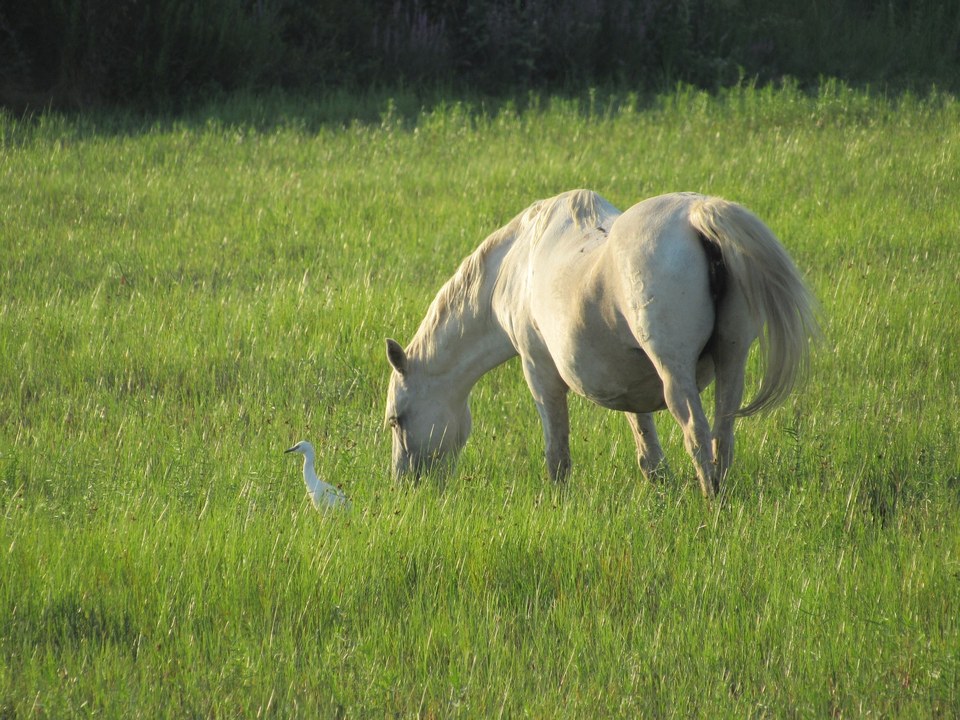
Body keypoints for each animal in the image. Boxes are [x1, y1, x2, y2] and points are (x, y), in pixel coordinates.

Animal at [384, 190, 819, 498]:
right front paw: (659, 490)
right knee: (722, 439)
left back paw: (710, 502)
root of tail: (698, 215)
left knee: (697, 433)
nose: (406, 485)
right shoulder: (627, 381)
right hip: (733, 360)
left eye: (396, 419)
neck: (516, 264)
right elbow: (646, 443)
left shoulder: (538, 370)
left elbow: (557, 452)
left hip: (675, 374)